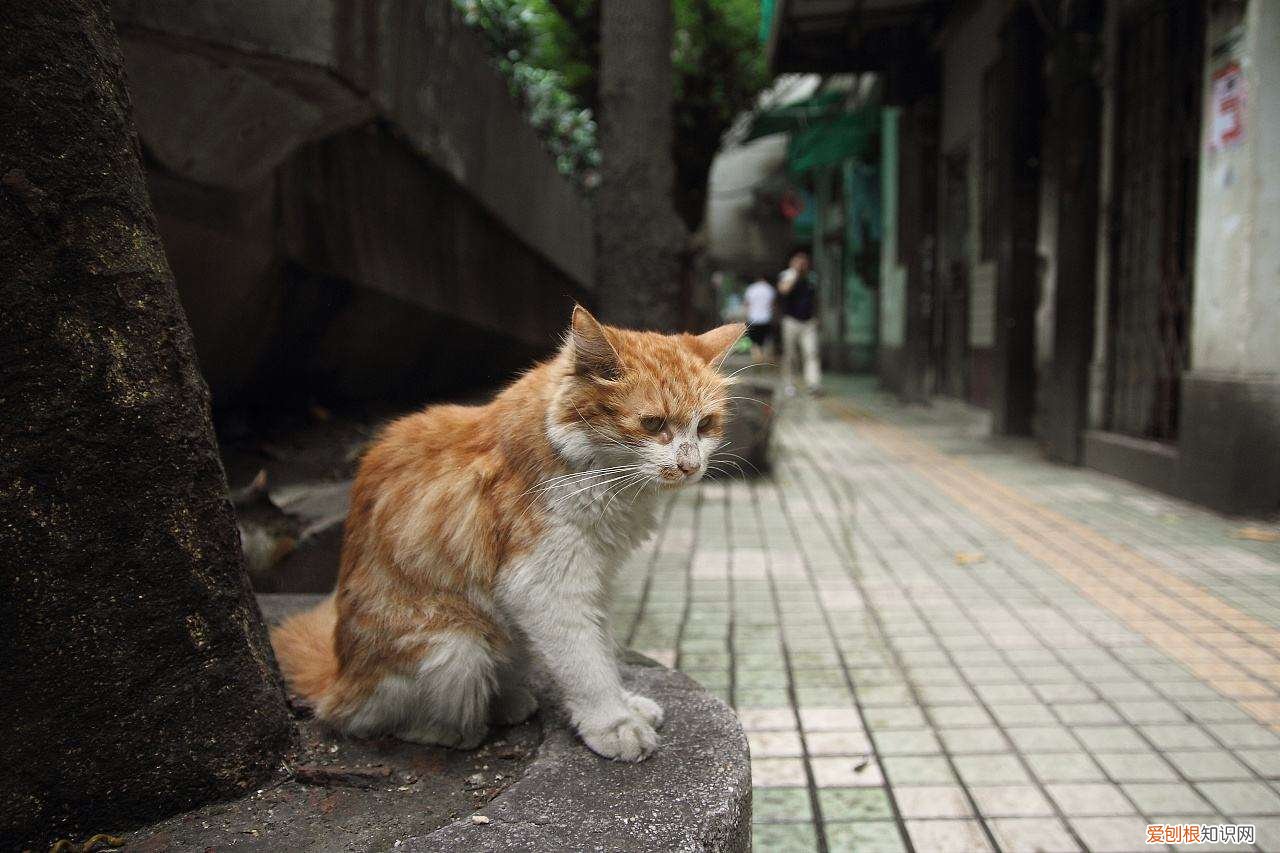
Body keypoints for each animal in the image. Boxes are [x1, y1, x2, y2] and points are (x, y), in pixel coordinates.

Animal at [270, 306, 742, 758]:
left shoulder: (596, 579)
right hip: (456, 648)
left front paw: (626, 704)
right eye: (653, 424)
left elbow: (603, 650)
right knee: (385, 723)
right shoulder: (544, 586)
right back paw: (464, 728)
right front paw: (614, 724)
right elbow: (586, 666)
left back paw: (509, 701)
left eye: (705, 425)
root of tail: (339, 680)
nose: (690, 466)